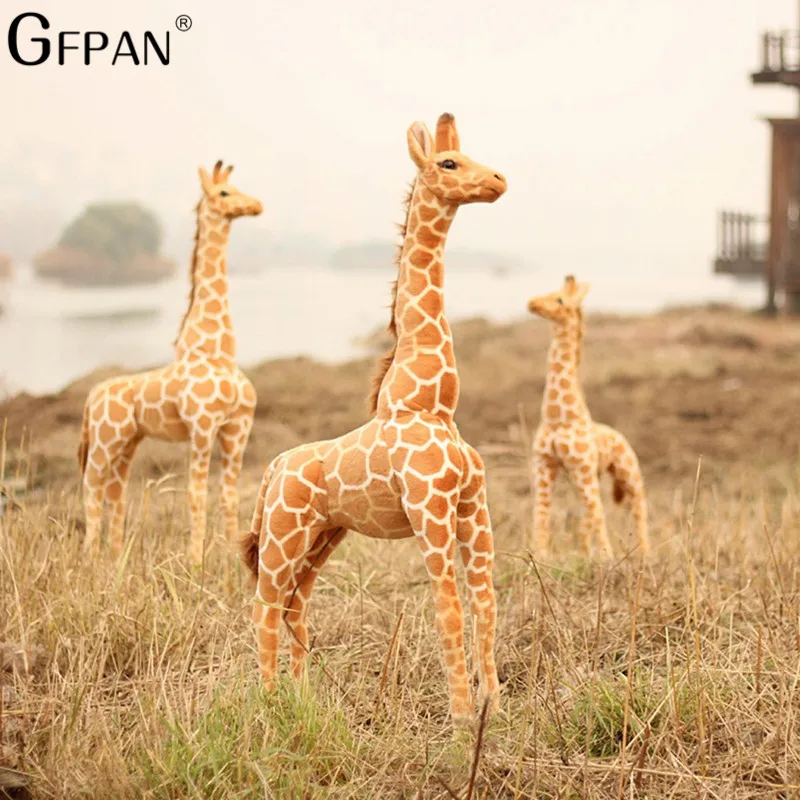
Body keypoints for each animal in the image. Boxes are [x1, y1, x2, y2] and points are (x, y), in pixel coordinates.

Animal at [78, 160, 262, 565]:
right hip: (103, 441)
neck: (217, 351)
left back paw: (115, 556)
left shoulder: (238, 427)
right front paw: (195, 563)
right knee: (91, 487)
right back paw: (89, 558)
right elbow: (196, 495)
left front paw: (235, 560)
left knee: (115, 491)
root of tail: (91, 396)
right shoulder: (202, 426)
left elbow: (229, 497)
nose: (256, 205)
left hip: (127, 442)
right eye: (224, 192)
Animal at [240, 113, 507, 727]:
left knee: (295, 604)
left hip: (323, 535)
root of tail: (273, 469)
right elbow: (449, 609)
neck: (430, 401)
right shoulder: (431, 509)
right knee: (265, 604)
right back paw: (267, 705)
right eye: (449, 162)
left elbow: (485, 602)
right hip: (285, 532)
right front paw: (462, 720)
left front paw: (495, 707)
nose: (498, 181)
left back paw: (303, 701)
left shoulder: (471, 505)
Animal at [527, 275, 649, 560]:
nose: (531, 303)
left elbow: (598, 513)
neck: (558, 418)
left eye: (560, 299)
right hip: (591, 475)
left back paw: (645, 555)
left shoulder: (582, 467)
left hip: (627, 471)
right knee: (587, 514)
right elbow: (541, 512)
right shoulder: (544, 465)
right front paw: (539, 555)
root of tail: (620, 435)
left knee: (637, 505)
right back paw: (585, 552)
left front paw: (607, 557)